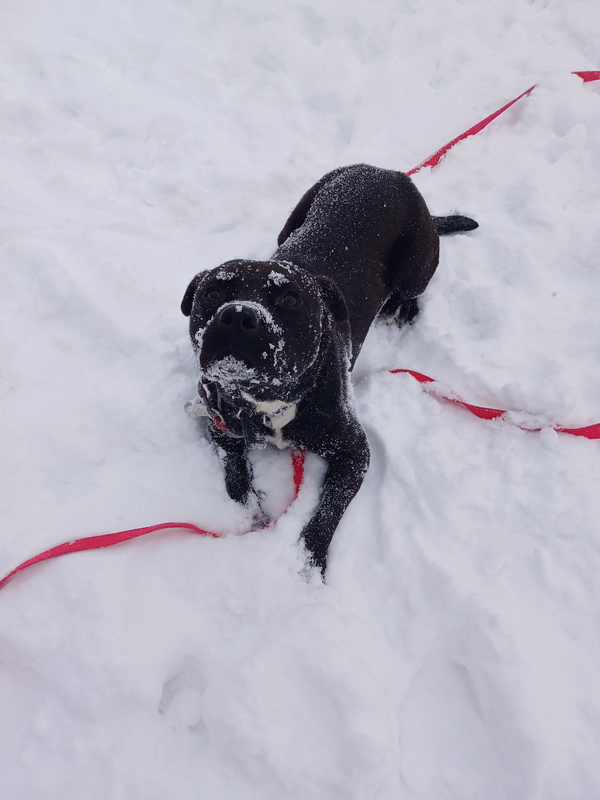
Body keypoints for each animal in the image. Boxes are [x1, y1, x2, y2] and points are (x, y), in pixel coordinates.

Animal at [181, 164, 477, 575]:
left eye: (290, 299)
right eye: (211, 293)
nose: (238, 315)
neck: (269, 402)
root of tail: (388, 172)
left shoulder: (354, 453)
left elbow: (327, 512)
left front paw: (308, 565)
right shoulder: (219, 427)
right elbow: (236, 482)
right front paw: (255, 514)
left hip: (418, 262)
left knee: (413, 290)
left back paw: (399, 309)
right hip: (295, 217)